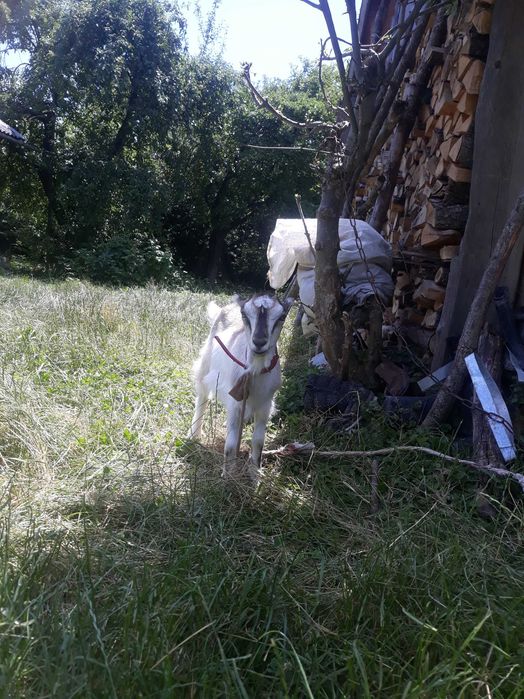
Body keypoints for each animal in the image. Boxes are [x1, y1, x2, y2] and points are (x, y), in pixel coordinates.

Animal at [188, 293, 292, 483]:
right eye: (245, 315)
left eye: (282, 317)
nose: (259, 342)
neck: (254, 369)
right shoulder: (235, 403)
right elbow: (230, 444)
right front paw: (228, 477)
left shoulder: (265, 405)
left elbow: (258, 442)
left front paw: (255, 476)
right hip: (206, 362)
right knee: (202, 395)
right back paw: (194, 434)